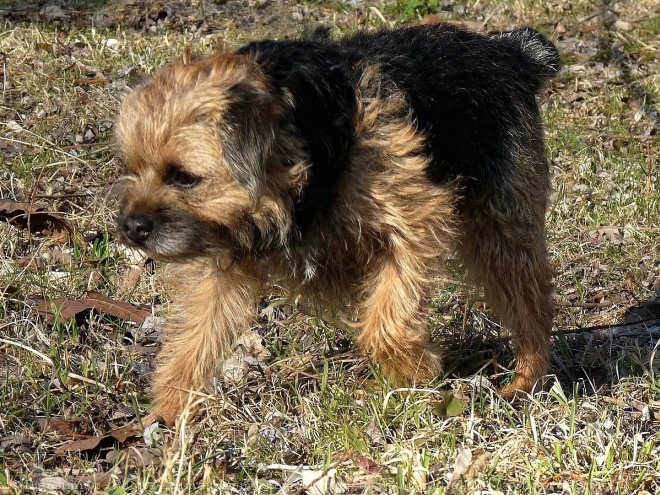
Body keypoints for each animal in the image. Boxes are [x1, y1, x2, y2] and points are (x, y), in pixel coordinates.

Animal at [116, 23, 560, 424]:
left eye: (184, 177)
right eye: (132, 168)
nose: (131, 226)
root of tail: (510, 52)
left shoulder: (418, 219)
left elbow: (386, 322)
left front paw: (413, 373)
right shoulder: (224, 263)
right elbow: (195, 335)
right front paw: (168, 411)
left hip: (503, 230)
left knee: (532, 306)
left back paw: (525, 382)